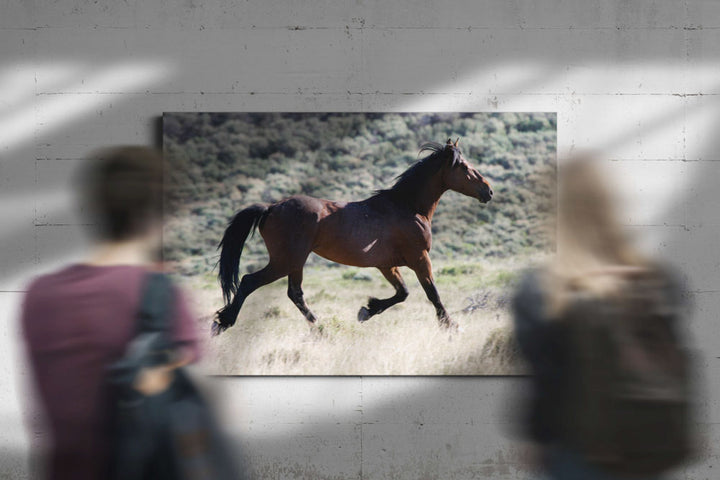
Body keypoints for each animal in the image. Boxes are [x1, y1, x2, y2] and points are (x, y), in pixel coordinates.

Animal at [214, 137, 492, 336]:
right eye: (464, 167)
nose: (488, 191)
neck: (407, 207)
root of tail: (270, 208)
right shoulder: (419, 258)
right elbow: (432, 293)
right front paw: (451, 326)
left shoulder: (386, 265)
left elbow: (402, 293)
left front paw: (367, 310)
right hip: (285, 260)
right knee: (250, 281)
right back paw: (222, 323)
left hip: (295, 262)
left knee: (295, 293)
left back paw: (321, 328)